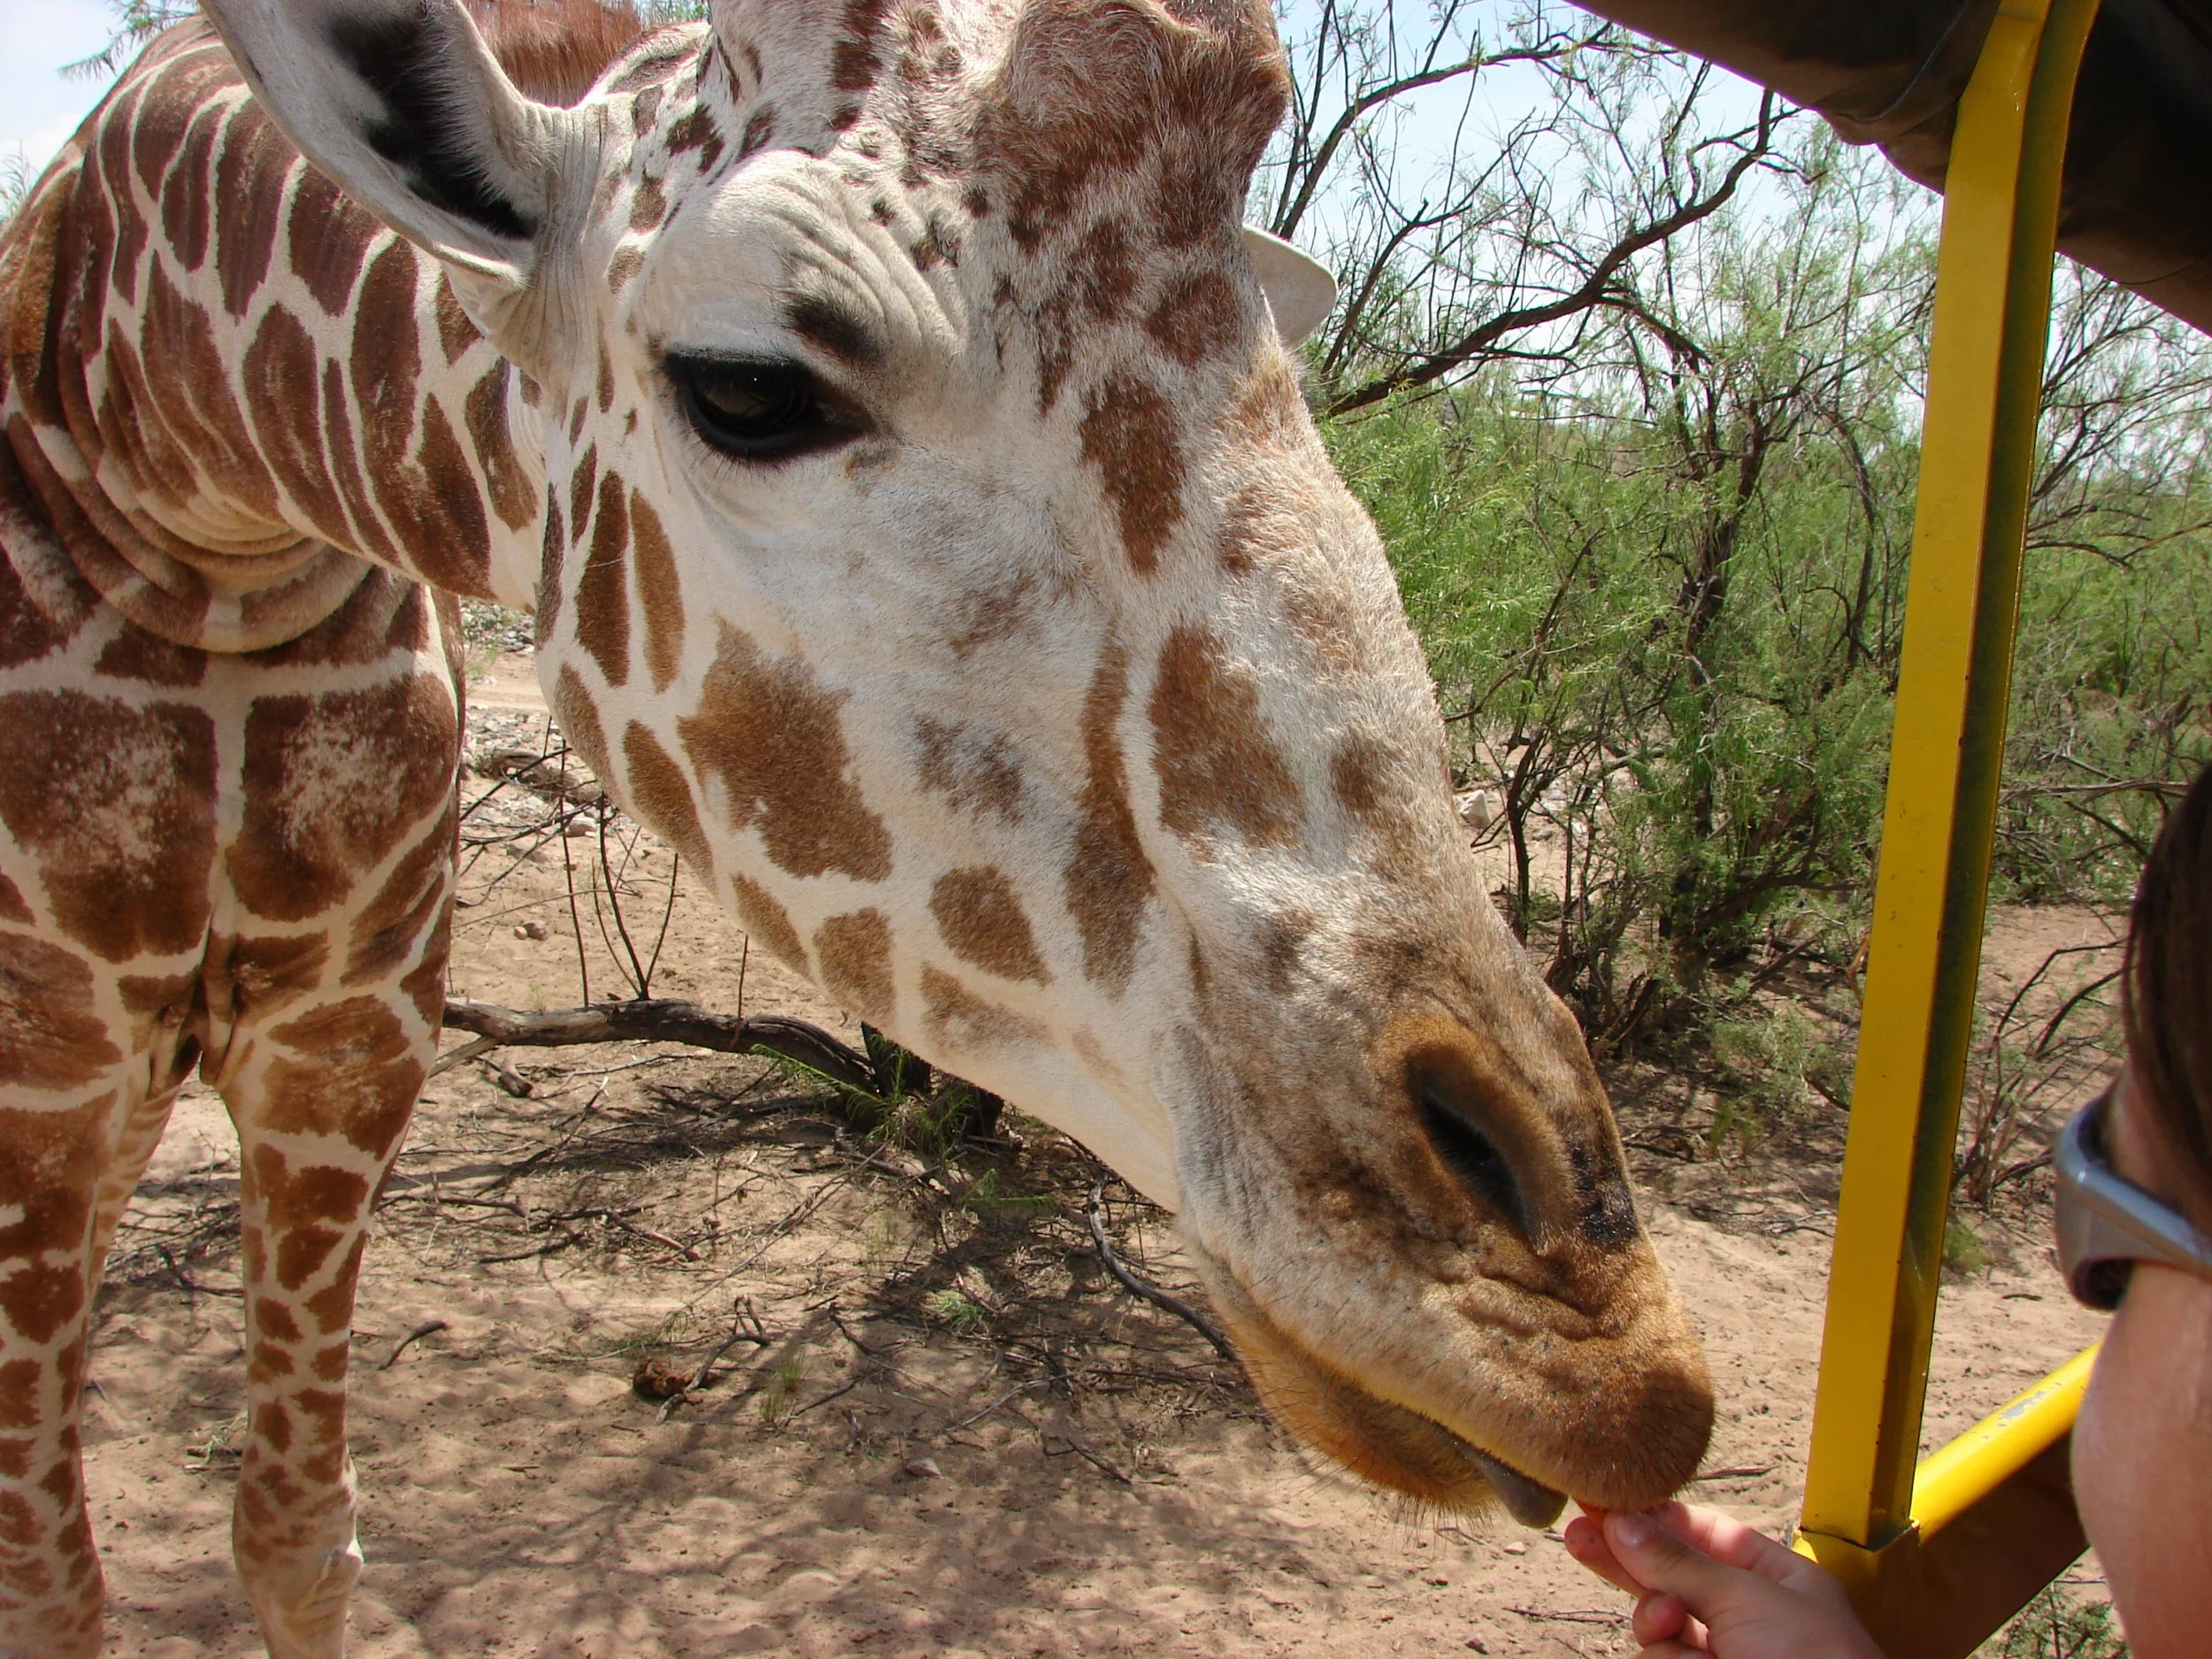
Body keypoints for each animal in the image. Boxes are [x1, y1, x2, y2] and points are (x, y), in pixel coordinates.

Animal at [0, 0, 1716, 1650]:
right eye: (750, 385)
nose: (1586, 1336)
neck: (188, 495)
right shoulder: (46, 1093)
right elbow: (53, 1580)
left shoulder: (352, 1047)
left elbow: (299, 1540)